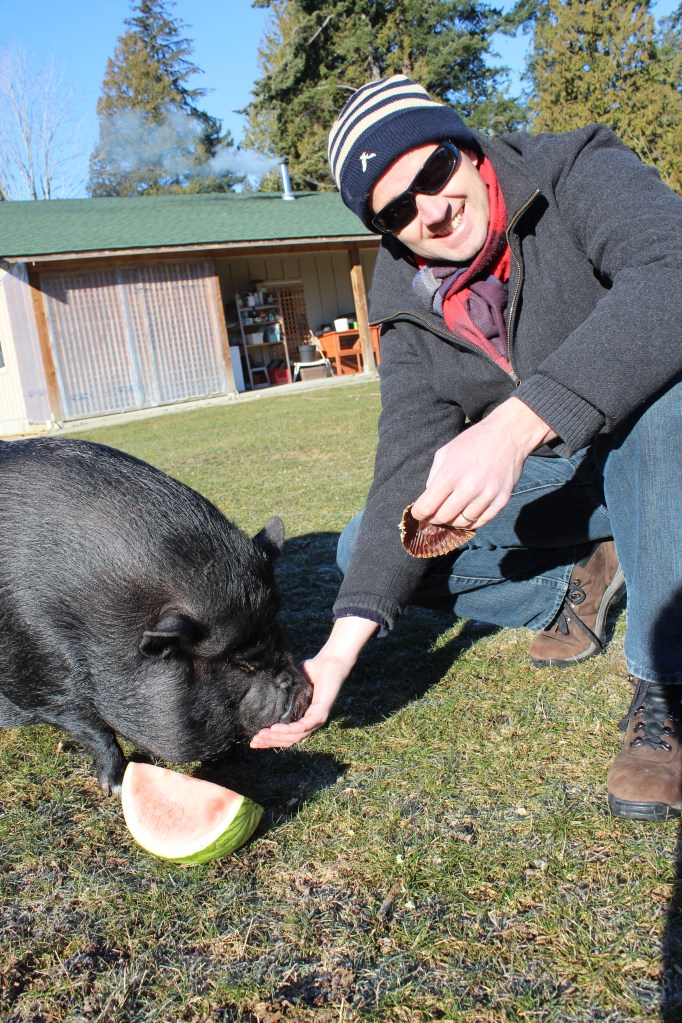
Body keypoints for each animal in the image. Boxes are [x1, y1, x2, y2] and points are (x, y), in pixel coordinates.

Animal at [0, 437, 312, 794]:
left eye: (276, 626)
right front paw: (115, 787)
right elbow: (89, 725)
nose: (307, 694)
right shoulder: (34, 675)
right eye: (238, 661)